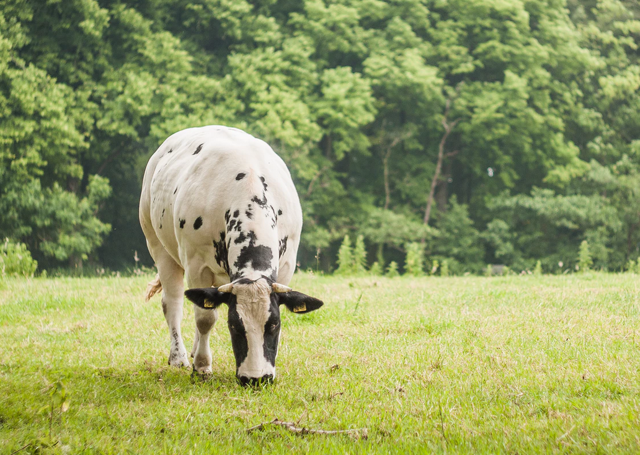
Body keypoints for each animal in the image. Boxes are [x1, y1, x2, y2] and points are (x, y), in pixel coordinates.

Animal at [138, 126, 322, 386]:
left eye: (273, 325)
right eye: (234, 326)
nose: (256, 379)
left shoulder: (286, 266)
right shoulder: (196, 265)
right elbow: (205, 318)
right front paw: (202, 367)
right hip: (158, 245)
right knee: (173, 303)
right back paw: (179, 357)